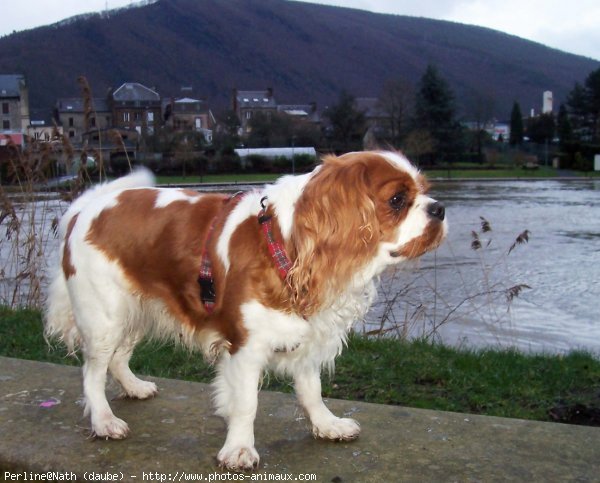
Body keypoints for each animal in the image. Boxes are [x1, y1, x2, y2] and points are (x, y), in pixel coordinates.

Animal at [45, 150, 446, 468]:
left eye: (425, 190)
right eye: (397, 199)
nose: (440, 208)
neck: (287, 245)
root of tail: (84, 209)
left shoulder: (307, 337)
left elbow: (311, 390)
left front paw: (326, 425)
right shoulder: (245, 346)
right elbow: (246, 404)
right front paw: (239, 449)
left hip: (135, 310)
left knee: (118, 358)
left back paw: (134, 387)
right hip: (104, 317)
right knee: (92, 372)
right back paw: (103, 421)